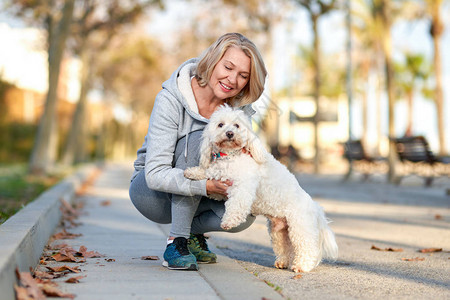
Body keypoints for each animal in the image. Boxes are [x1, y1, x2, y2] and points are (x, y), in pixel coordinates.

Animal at [184, 105, 338, 272]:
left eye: (237, 125)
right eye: (220, 125)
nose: (230, 133)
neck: (230, 156)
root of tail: (314, 206)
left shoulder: (243, 188)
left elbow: (236, 205)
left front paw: (228, 221)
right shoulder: (221, 185)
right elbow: (208, 173)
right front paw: (193, 172)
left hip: (300, 227)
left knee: (307, 246)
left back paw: (302, 266)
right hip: (278, 231)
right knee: (284, 247)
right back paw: (282, 262)